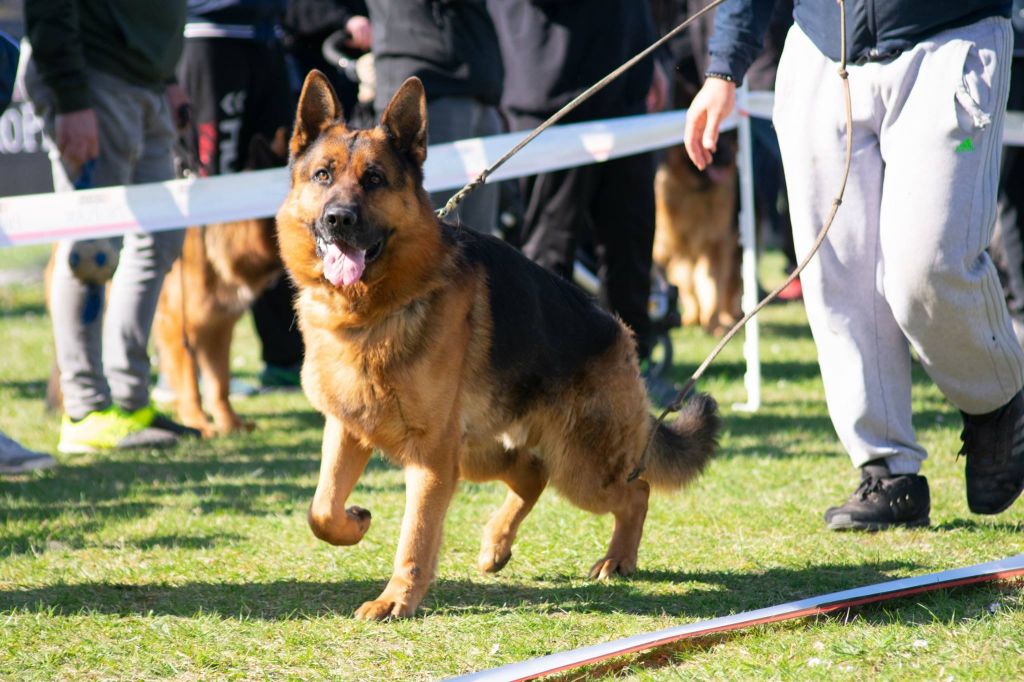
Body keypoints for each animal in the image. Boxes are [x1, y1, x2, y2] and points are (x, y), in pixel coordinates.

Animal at [276, 71, 716, 618]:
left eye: (374, 179)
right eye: (322, 175)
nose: (338, 219)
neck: (376, 308)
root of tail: (619, 332)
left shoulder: (430, 456)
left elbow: (415, 535)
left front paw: (397, 599)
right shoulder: (349, 428)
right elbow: (321, 510)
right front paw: (355, 523)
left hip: (576, 468)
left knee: (635, 490)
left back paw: (618, 559)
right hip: (478, 454)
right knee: (531, 473)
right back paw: (496, 545)